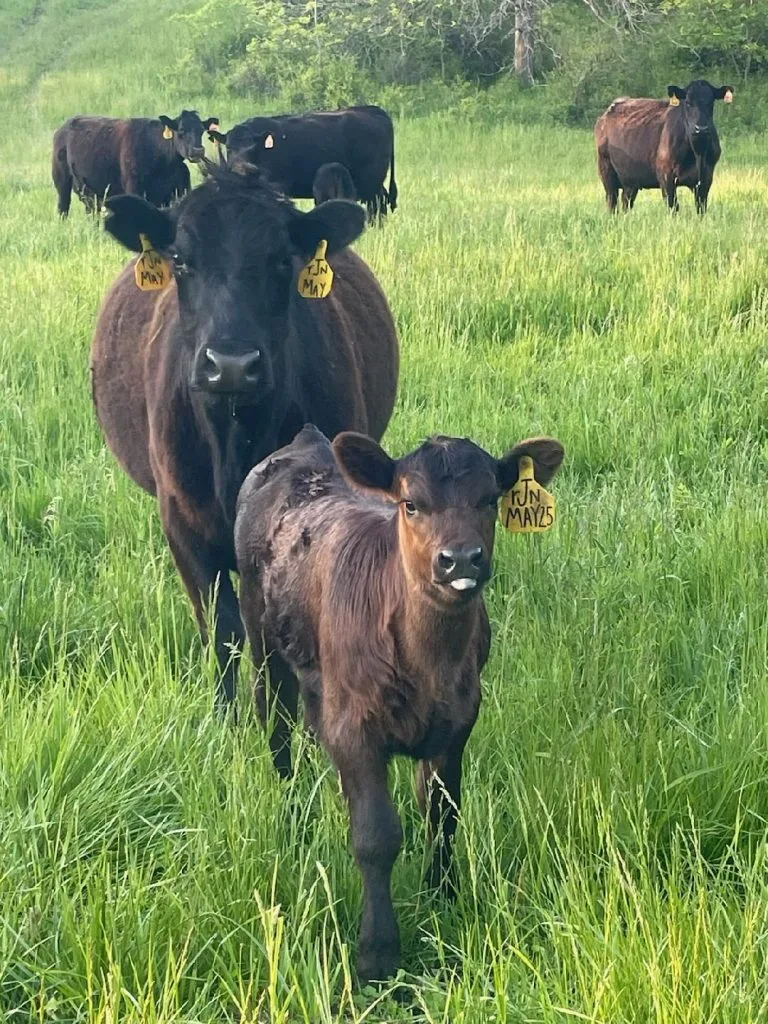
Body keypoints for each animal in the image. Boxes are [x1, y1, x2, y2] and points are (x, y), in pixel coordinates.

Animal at [52, 110, 219, 217]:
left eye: (202, 130)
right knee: (63, 208)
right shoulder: (134, 187)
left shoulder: (178, 190)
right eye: (181, 130)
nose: (198, 150)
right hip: (61, 181)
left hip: (89, 192)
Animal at [90, 162, 399, 711]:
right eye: (181, 260)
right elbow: (223, 630)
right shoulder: (181, 523)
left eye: (281, 261)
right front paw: (225, 716)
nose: (231, 363)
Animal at [209, 105, 397, 223]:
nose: (241, 169)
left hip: (371, 182)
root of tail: (374, 110)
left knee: (377, 205)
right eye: (229, 147)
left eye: (254, 149)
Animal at [234, 424, 565, 980]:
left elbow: (443, 816)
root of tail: (305, 442)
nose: (460, 559)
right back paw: (293, 810)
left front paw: (443, 901)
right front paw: (378, 955)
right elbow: (376, 836)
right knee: (274, 720)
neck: (427, 664)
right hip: (260, 633)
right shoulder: (355, 729)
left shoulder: (456, 724)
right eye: (411, 504)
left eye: (490, 499)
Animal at [595, 80, 734, 213]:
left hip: (630, 179)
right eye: (688, 103)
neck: (697, 151)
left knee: (626, 203)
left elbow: (701, 208)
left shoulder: (706, 178)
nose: (701, 129)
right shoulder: (666, 176)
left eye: (711, 103)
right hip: (606, 170)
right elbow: (673, 207)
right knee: (612, 203)